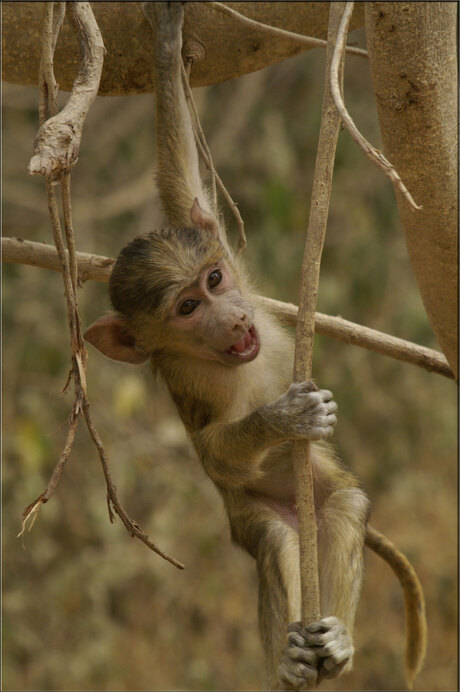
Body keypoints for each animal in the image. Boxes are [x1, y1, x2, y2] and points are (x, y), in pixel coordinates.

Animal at [84, 4, 426, 688]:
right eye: (188, 309)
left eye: (215, 279)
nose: (234, 317)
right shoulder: (190, 382)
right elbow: (216, 451)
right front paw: (283, 418)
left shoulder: (214, 237)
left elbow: (182, 184)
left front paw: (167, 45)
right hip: (251, 514)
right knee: (275, 540)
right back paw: (289, 664)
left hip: (322, 499)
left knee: (346, 506)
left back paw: (337, 648)